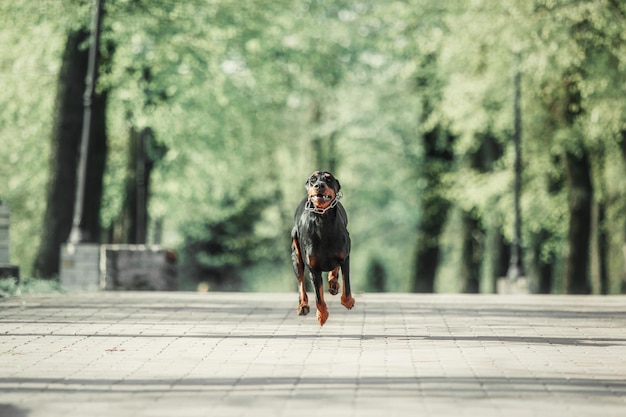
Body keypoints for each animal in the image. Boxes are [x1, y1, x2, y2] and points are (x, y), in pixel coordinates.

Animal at [290, 170, 354, 324]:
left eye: (329, 179)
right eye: (312, 179)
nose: (319, 185)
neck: (322, 222)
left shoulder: (345, 257)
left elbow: (347, 285)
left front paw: (348, 301)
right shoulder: (314, 268)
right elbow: (318, 296)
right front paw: (322, 315)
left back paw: (333, 284)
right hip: (296, 253)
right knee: (300, 281)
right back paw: (303, 306)